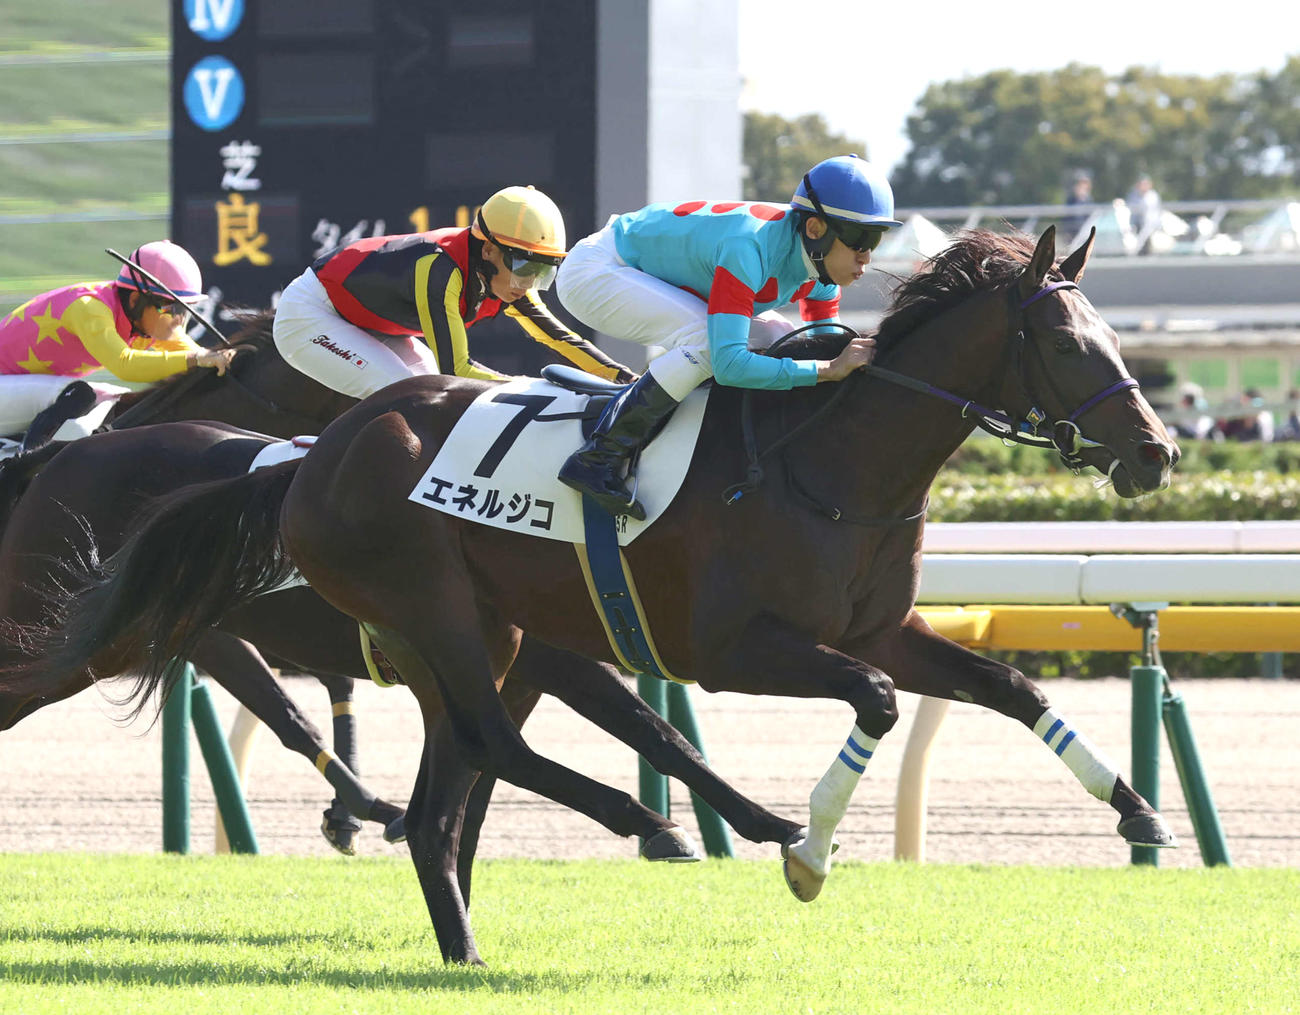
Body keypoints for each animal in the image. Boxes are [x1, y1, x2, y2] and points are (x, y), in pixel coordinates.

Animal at [18, 226, 1181, 964]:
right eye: (1067, 341)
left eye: (1117, 338)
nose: (1157, 453)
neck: (830, 465)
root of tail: (311, 461)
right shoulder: (726, 648)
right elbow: (866, 705)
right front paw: (801, 848)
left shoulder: (879, 628)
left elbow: (1007, 688)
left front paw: (1137, 811)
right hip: (427, 612)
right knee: (478, 746)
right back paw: (648, 823)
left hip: (458, 632)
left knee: (453, 771)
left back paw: (464, 925)